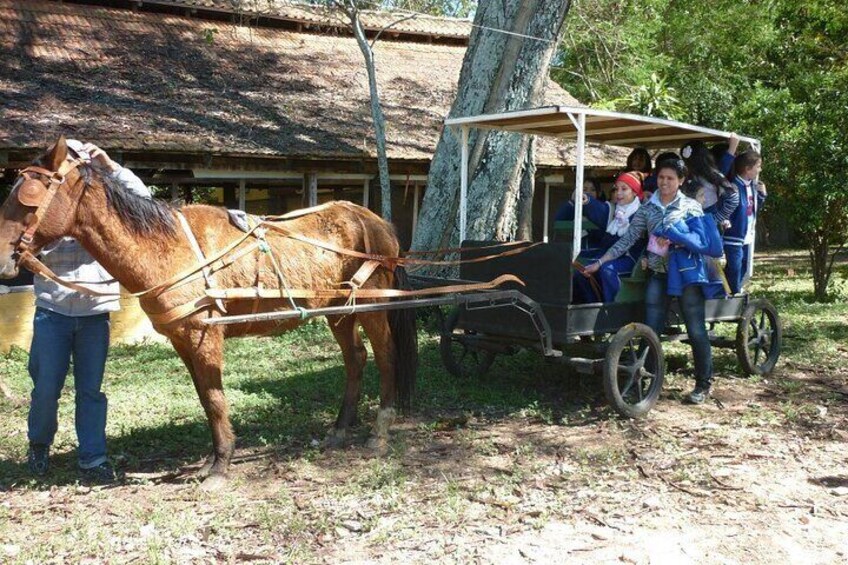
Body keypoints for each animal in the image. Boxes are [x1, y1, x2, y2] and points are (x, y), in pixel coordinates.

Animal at [0, 138, 418, 490]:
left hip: (373, 306)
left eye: (28, 198)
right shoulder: (183, 340)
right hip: (339, 310)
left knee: (385, 355)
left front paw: (220, 467)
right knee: (355, 358)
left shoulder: (205, 335)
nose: (4, 260)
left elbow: (216, 399)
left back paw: (380, 429)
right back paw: (340, 429)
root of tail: (378, 223)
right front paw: (210, 461)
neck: (169, 248)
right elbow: (205, 397)